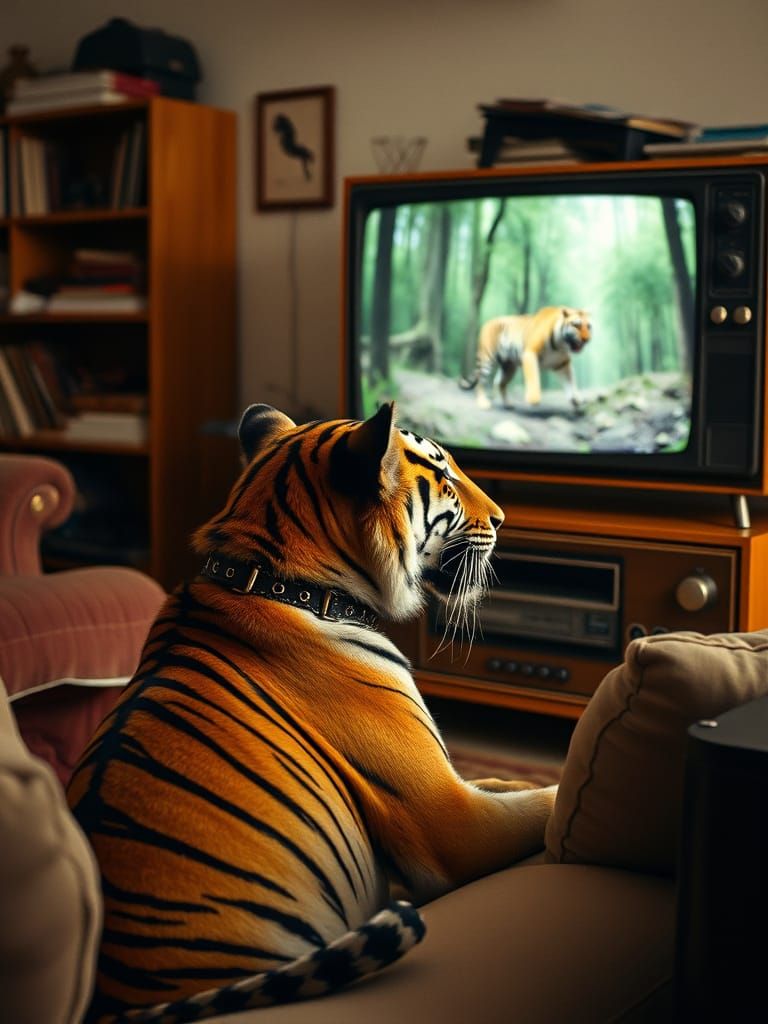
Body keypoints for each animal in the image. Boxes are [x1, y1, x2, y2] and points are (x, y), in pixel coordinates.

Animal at [67, 402, 557, 1023]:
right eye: (444, 476)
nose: (501, 517)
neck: (278, 577)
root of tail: (112, 1002)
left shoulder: (452, 777)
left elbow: (506, 781)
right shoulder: (452, 818)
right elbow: (546, 801)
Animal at [460, 305, 592, 410]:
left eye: (589, 326)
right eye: (576, 325)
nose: (587, 339)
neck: (561, 343)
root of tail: (487, 323)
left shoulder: (562, 363)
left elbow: (571, 379)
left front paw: (576, 398)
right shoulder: (530, 354)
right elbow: (533, 377)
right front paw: (534, 399)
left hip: (509, 368)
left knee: (499, 383)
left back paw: (508, 404)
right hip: (487, 359)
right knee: (480, 382)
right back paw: (483, 403)